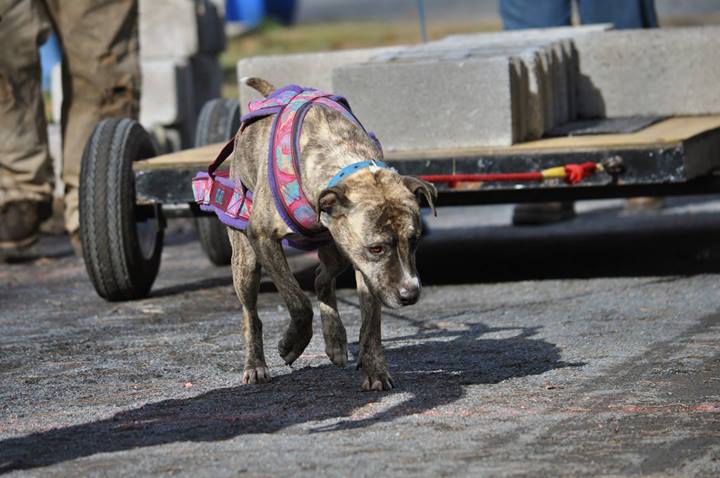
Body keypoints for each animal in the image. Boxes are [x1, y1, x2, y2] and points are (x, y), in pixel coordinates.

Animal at [228, 78, 436, 390]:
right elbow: (298, 302)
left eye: (414, 241)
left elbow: (371, 321)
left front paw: (374, 369)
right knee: (250, 313)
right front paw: (292, 343)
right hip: (246, 260)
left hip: (338, 250)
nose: (410, 294)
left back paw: (336, 339)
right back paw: (255, 364)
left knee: (321, 278)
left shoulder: (363, 264)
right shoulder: (263, 237)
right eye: (376, 248)